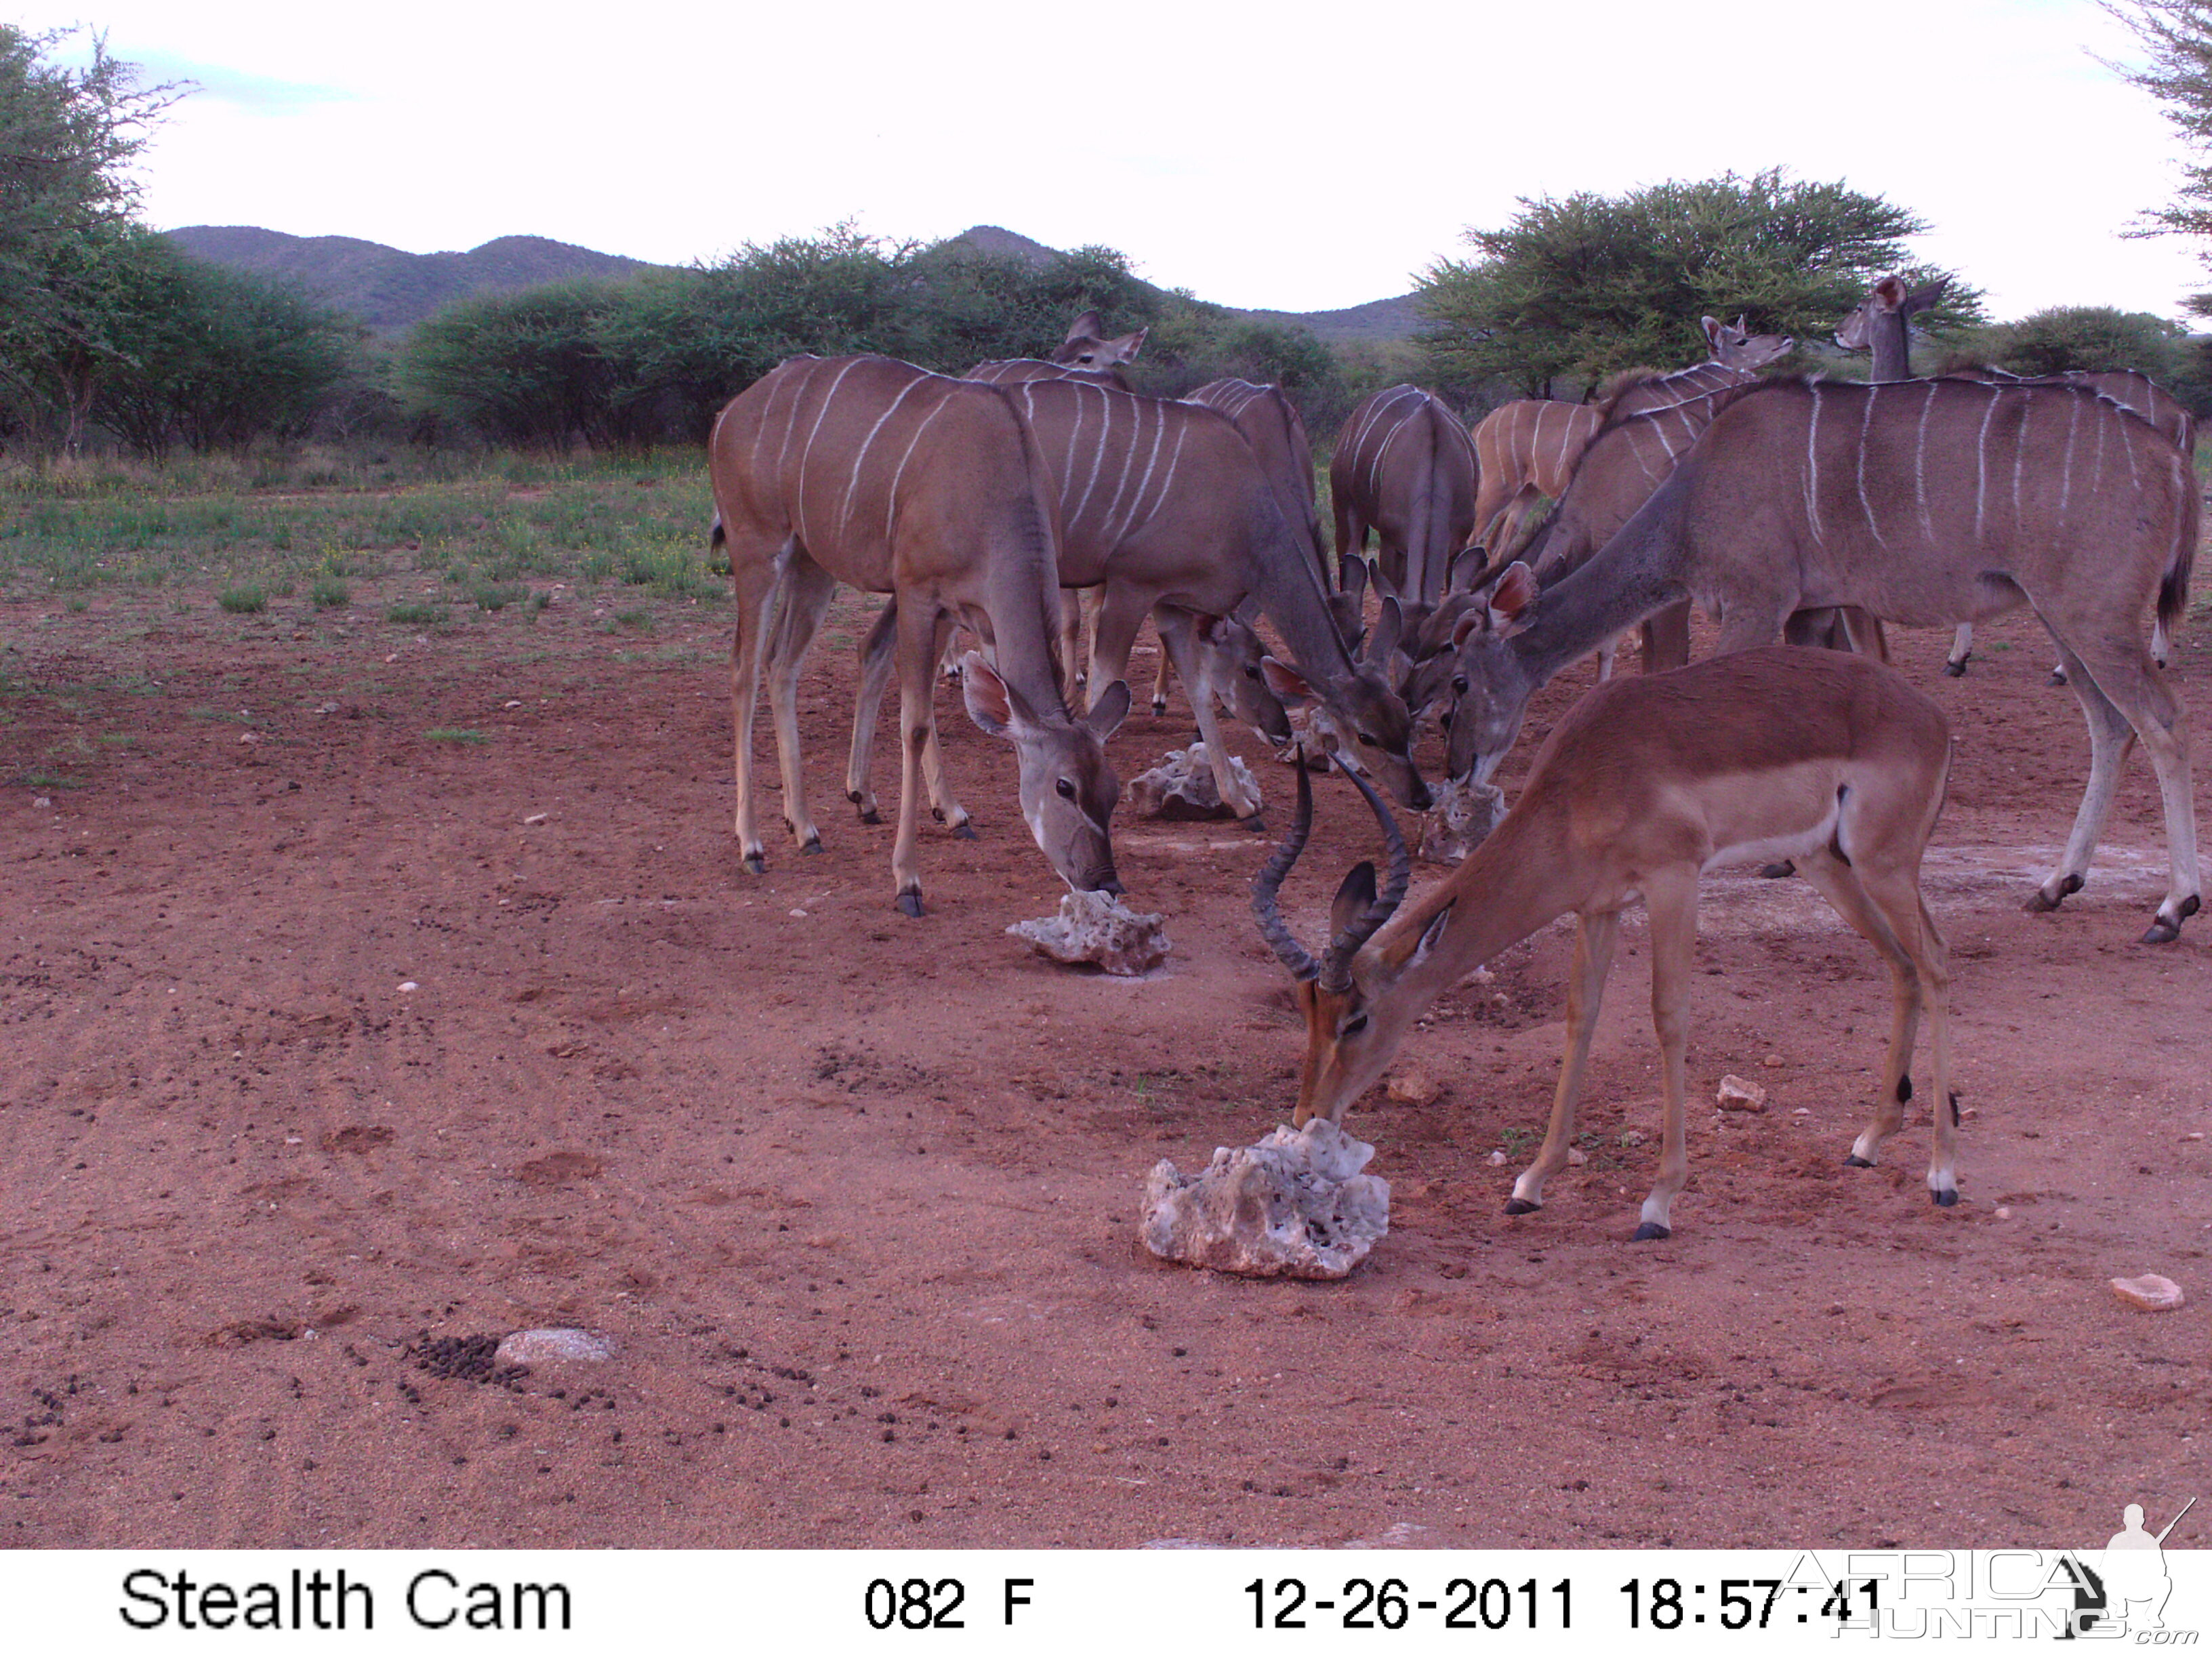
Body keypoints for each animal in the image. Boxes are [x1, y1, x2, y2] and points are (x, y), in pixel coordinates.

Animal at [703, 354, 1124, 924]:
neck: (996, 478)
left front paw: (953, 812)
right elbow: (916, 722)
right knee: (744, 670)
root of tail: (726, 416)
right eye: (1065, 787)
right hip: (757, 549)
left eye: (1114, 790)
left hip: (813, 562)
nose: (1106, 883)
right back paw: (752, 844)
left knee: (781, 664)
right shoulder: (919, 592)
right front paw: (907, 881)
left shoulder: (962, 608)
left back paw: (805, 828)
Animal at [1256, 641, 1964, 1238]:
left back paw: (1943, 1176)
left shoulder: (1674, 881)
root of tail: (1931, 715)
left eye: (1357, 1019)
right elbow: (1581, 1018)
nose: (1308, 1115)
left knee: (1935, 962)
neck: (1585, 782)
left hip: (1882, 864)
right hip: (1827, 863)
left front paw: (1658, 1203)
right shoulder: (1598, 908)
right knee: (1901, 966)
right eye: (1307, 1014)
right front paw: (1530, 1184)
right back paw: (1869, 1143)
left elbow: (1668, 1016)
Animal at [1451, 380, 2194, 946]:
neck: (1691, 499)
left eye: (1458, 680)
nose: (1459, 773)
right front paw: (1788, 856)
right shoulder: (1812, 608)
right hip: (2063, 618)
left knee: (2163, 722)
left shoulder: (1755, 602)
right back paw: (2058, 884)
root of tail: (2174, 456)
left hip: (2092, 616)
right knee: (2111, 726)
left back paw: (2173, 907)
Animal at [1469, 314, 1796, 562]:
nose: (1785, 339)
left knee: (1497, 546)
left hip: (1527, 492)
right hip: (1497, 488)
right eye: (1743, 341)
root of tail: (1479, 426)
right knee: (1473, 539)